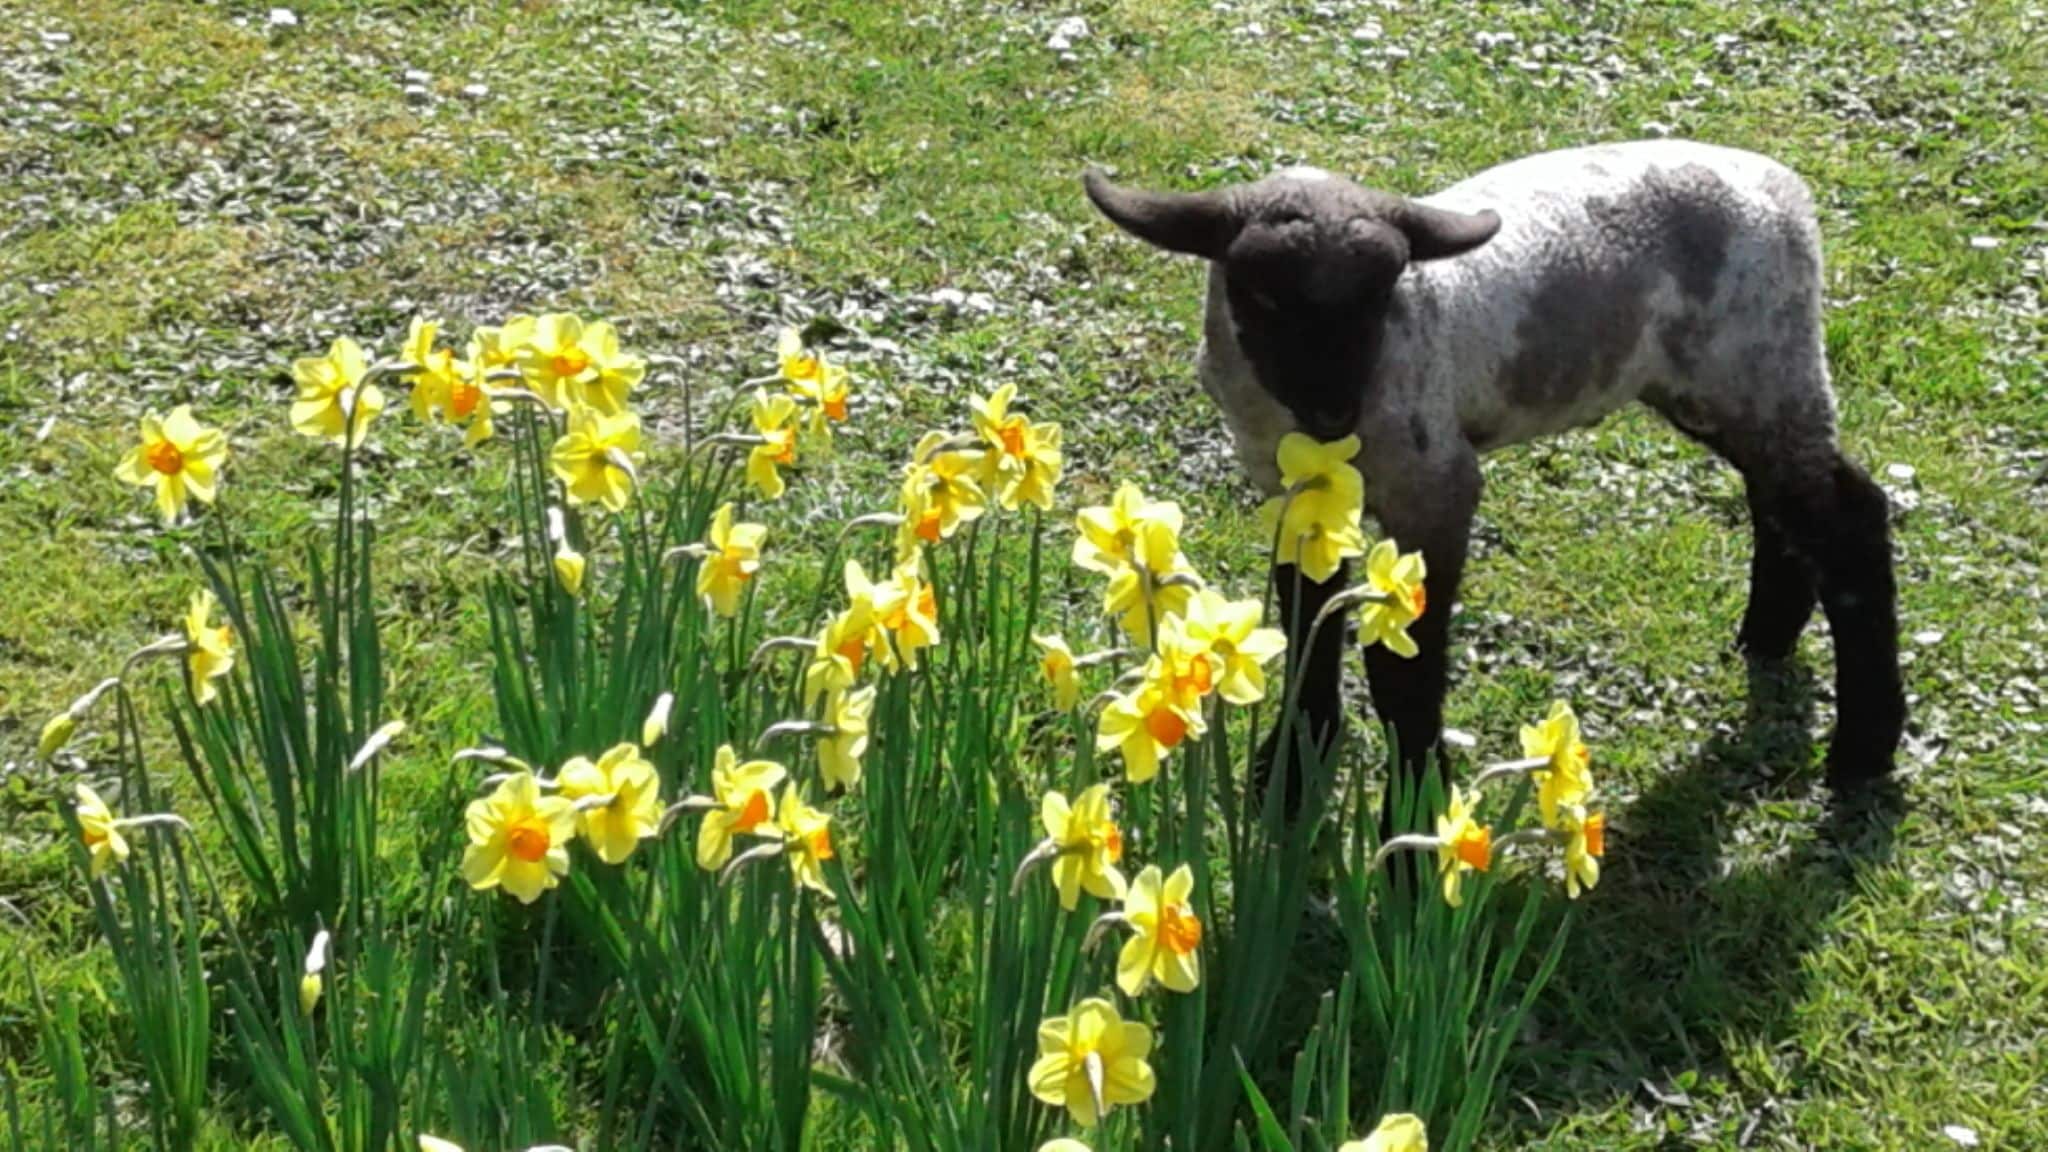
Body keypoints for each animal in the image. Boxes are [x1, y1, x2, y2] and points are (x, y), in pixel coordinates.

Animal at [1083, 140, 1904, 801]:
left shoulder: (1435, 489)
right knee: (1784, 502)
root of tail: (1783, 188)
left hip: (1762, 361)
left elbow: (1406, 672)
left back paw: (1864, 749)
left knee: (1850, 518)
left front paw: (1415, 809)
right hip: (1720, 389)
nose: (1333, 410)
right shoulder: (1292, 499)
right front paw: (1290, 772)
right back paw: (1768, 636)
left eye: (1382, 297)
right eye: (1260, 295)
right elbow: (1305, 623)